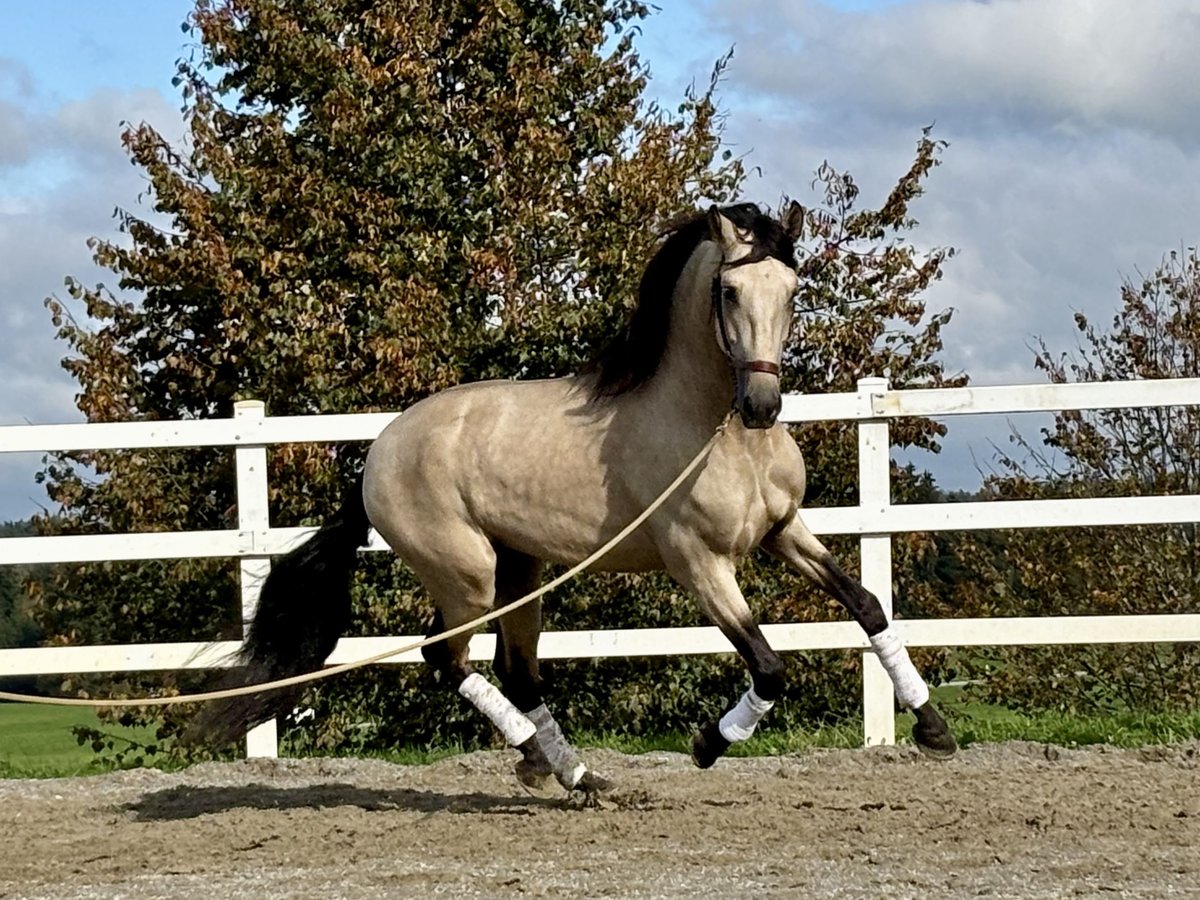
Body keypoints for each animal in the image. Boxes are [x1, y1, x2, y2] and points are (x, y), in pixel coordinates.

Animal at [194, 202, 955, 787]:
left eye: (793, 290)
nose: (763, 405)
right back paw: (556, 765)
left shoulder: (782, 530)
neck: (714, 431)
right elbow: (769, 668)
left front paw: (934, 728)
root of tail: (378, 455)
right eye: (730, 293)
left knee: (518, 672)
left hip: (519, 569)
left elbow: (867, 606)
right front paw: (707, 745)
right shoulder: (699, 563)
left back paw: (565, 773)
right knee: (448, 660)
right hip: (466, 574)